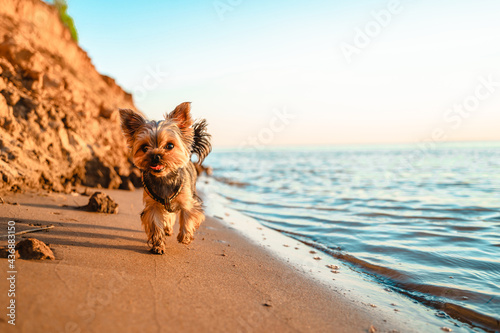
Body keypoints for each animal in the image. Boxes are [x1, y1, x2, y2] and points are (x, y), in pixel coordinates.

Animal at [120, 102, 211, 253]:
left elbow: (188, 216)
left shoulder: (188, 200)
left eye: (170, 145)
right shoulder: (153, 205)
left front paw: (185, 237)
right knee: (169, 215)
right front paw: (158, 245)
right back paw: (167, 229)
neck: (164, 178)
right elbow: (156, 223)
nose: (156, 156)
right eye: (144, 148)